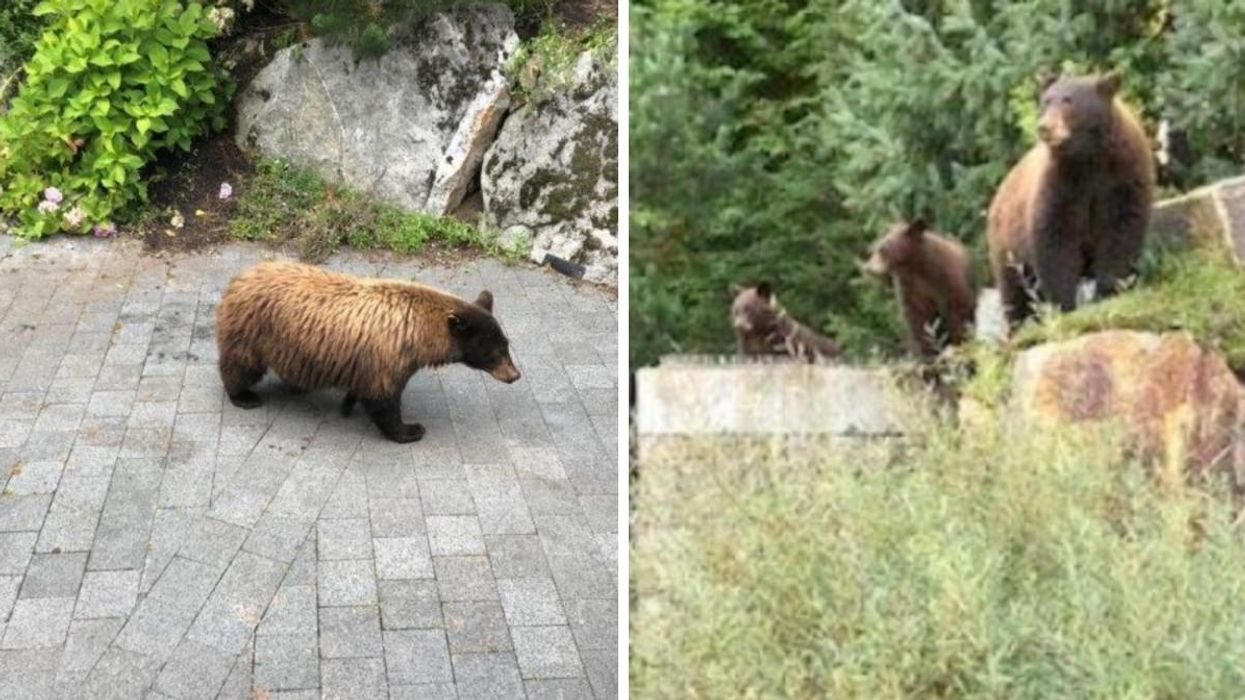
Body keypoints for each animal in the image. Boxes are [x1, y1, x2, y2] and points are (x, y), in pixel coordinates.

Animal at [215, 261, 520, 443]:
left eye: (506, 344)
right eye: (493, 351)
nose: (515, 375)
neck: (416, 332)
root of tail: (240, 277)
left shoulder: (370, 359)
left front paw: (347, 404)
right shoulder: (388, 356)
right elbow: (383, 400)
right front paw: (411, 429)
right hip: (253, 331)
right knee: (241, 365)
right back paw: (243, 396)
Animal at [861, 218, 976, 359]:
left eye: (884, 249)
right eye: (875, 248)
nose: (868, 268)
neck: (916, 267)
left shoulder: (945, 280)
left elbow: (957, 310)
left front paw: (960, 343)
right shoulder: (909, 287)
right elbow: (916, 317)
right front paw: (925, 353)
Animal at [987, 72, 1155, 327]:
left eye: (1069, 101)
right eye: (1046, 101)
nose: (1044, 127)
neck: (1088, 157)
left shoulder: (1123, 179)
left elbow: (1120, 231)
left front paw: (1107, 290)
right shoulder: (1062, 186)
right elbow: (1056, 239)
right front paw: (1065, 304)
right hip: (1007, 245)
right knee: (1014, 290)